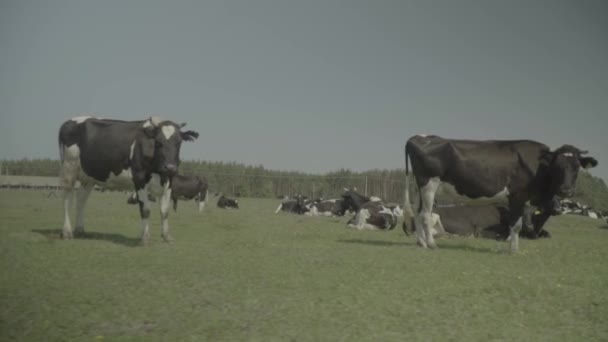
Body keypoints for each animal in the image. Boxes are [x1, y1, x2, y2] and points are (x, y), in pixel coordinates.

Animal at [58, 116, 198, 242]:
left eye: (179, 142)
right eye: (158, 142)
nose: (170, 166)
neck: (159, 172)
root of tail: (69, 121)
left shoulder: (169, 182)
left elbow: (164, 211)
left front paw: (167, 236)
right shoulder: (140, 179)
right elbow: (145, 210)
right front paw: (145, 237)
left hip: (88, 177)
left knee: (81, 200)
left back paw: (80, 230)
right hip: (69, 167)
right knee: (67, 198)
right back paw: (67, 232)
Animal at [402, 136, 596, 251]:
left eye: (577, 166)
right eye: (558, 166)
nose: (566, 190)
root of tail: (420, 137)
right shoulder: (517, 196)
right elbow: (516, 225)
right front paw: (514, 250)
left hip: (419, 186)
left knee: (417, 213)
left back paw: (421, 242)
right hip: (429, 183)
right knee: (425, 214)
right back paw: (431, 244)